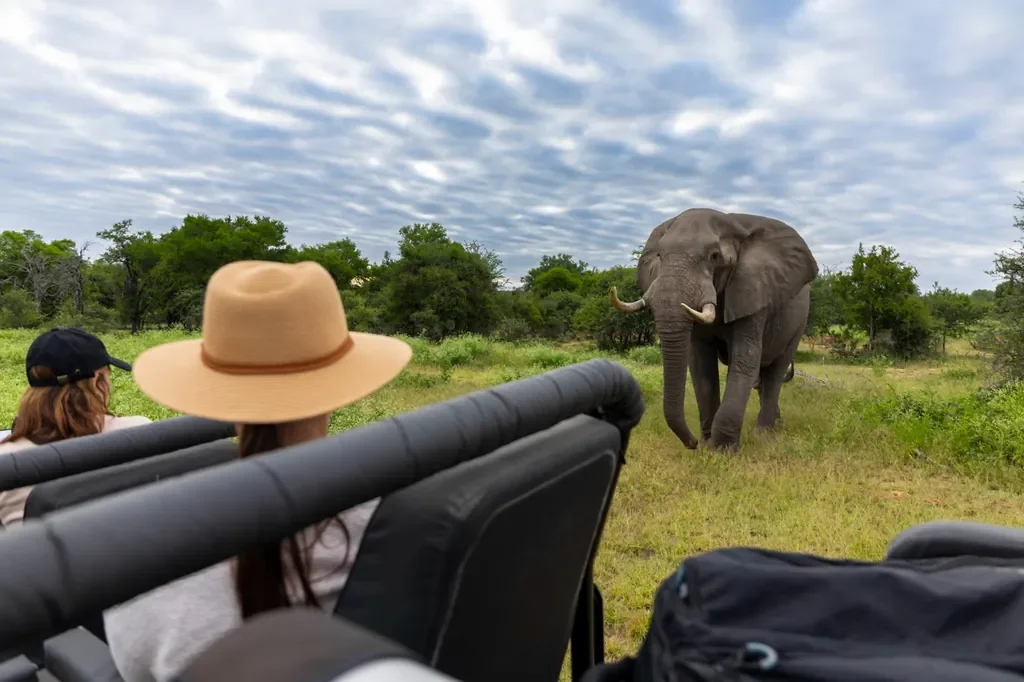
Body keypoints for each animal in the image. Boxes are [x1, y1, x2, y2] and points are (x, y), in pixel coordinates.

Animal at [610, 207, 818, 451]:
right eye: (660, 256)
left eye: (715, 257)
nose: (692, 442)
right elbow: (701, 364)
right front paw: (707, 447)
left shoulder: (753, 293)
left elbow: (745, 358)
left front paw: (722, 451)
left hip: (799, 323)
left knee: (775, 372)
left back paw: (762, 436)